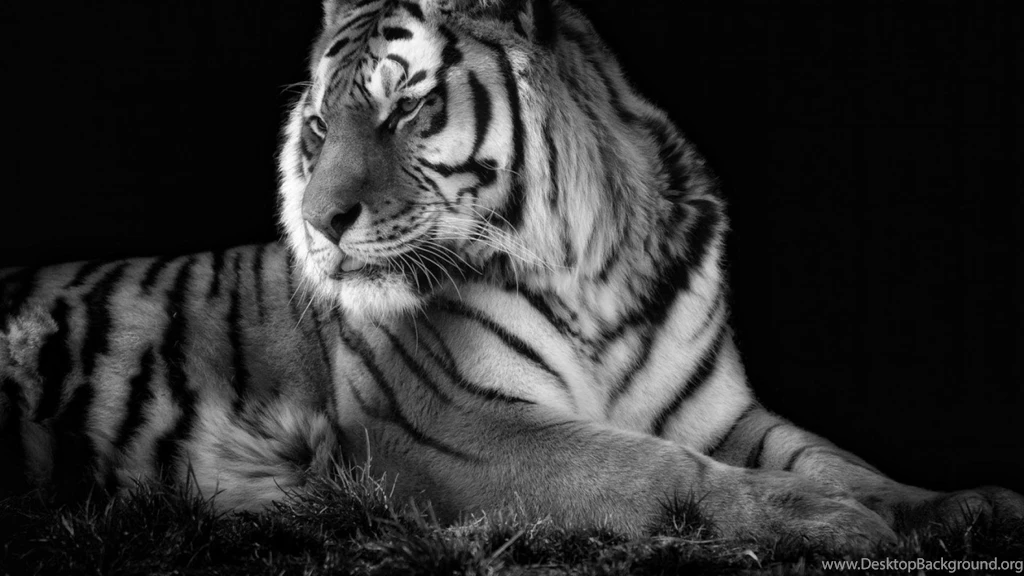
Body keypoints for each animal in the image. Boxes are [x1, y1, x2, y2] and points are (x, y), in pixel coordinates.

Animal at [1, 0, 1022, 552]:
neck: (599, 275)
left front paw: (963, 505)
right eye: (320, 127)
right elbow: (652, 469)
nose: (320, 224)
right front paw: (827, 523)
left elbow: (838, 455)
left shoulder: (721, 412)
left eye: (405, 108)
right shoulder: (454, 426)